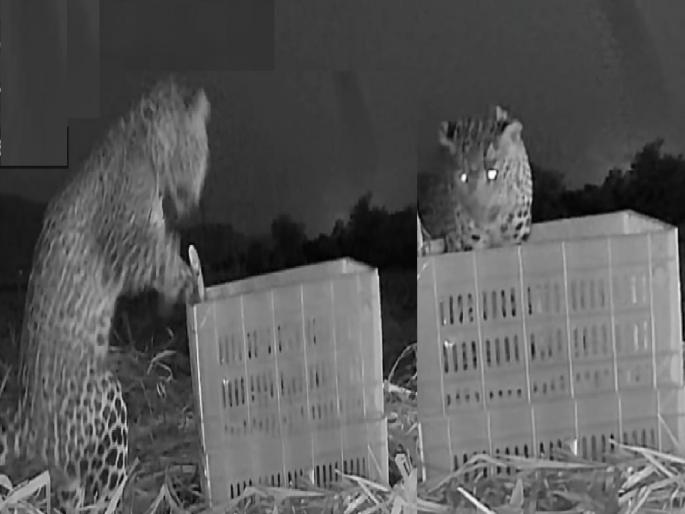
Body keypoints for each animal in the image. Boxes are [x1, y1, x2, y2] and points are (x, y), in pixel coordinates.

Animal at [0, 76, 210, 513]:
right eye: (197, 149)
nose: (192, 204)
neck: (141, 145)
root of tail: (28, 421)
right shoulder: (129, 243)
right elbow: (160, 257)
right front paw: (187, 279)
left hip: (65, 470)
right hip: (105, 402)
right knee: (101, 493)